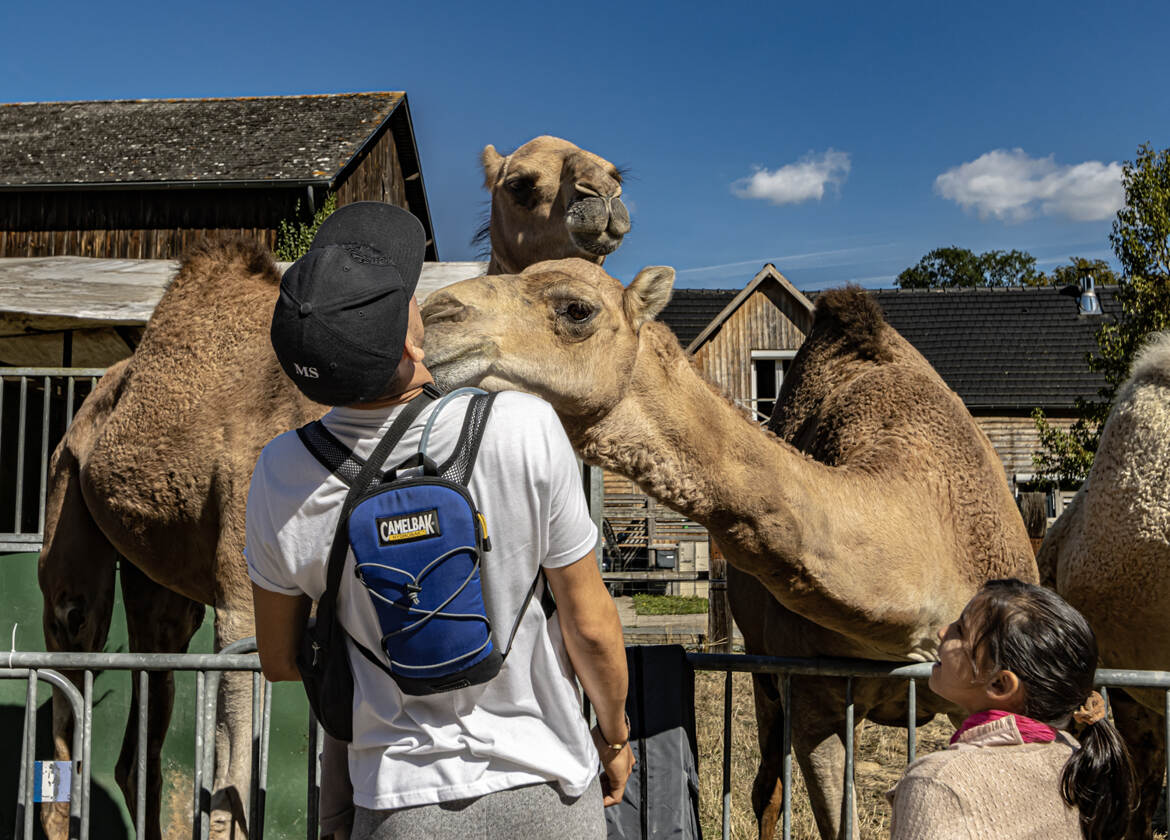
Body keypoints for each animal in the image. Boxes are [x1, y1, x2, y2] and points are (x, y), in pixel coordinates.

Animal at [38, 135, 631, 837]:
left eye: (608, 167)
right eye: (521, 183)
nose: (605, 196)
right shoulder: (245, 589)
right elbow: (233, 784)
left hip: (157, 577)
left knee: (142, 728)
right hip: (66, 499)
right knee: (70, 653)